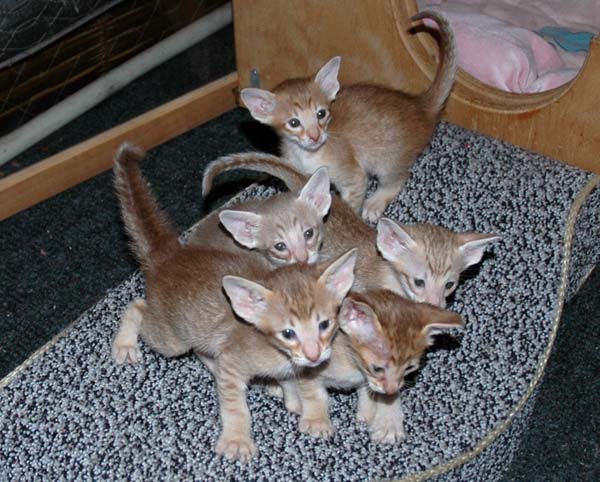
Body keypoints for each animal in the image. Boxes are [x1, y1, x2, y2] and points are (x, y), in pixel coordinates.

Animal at [239, 10, 457, 222]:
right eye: (294, 123)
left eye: (321, 114)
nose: (315, 136)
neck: (307, 155)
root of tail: (419, 105)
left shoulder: (354, 176)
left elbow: (351, 202)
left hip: (387, 160)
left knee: (399, 178)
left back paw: (376, 201)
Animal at [290, 289, 464, 443]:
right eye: (377, 368)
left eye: (409, 368)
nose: (392, 390)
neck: (351, 364)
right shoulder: (306, 364)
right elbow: (314, 394)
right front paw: (317, 421)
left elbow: (369, 390)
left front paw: (369, 412)